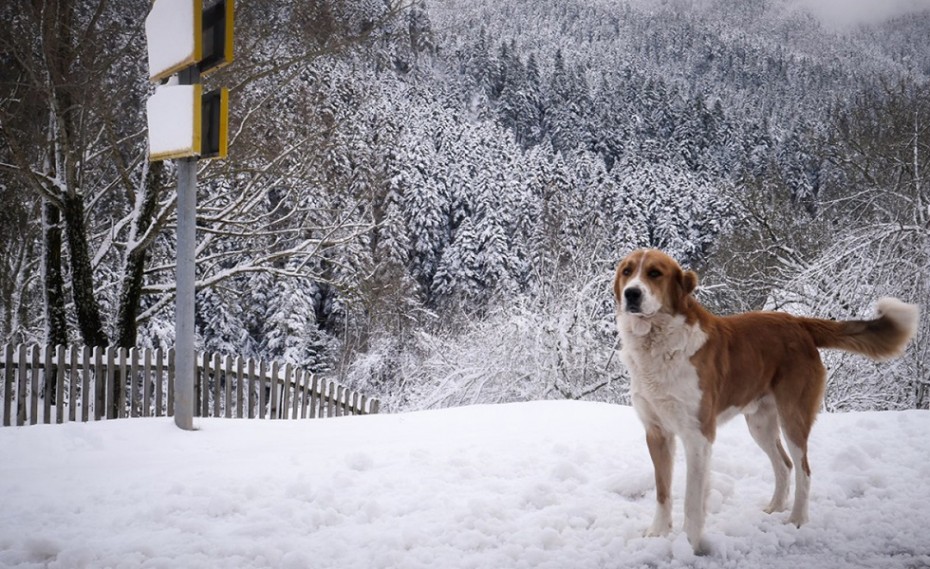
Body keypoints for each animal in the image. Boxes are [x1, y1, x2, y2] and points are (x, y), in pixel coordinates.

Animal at [612, 247, 916, 552]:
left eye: (655, 273)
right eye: (627, 271)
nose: (631, 294)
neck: (658, 343)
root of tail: (798, 322)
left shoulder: (697, 436)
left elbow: (692, 502)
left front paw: (690, 546)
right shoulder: (657, 433)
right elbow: (662, 491)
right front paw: (658, 533)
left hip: (793, 417)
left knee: (804, 469)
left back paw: (796, 519)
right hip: (759, 424)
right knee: (784, 464)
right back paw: (775, 507)